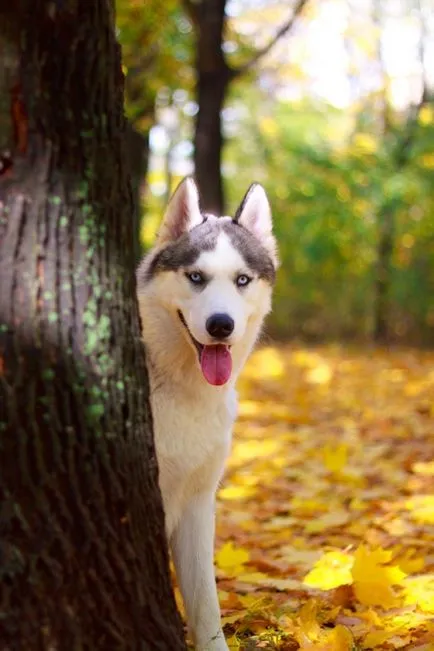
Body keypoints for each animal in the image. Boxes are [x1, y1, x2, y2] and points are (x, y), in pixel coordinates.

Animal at [137, 178, 276, 651]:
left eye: (242, 280)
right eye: (196, 277)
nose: (220, 325)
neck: (183, 389)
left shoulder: (198, 501)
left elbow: (205, 601)